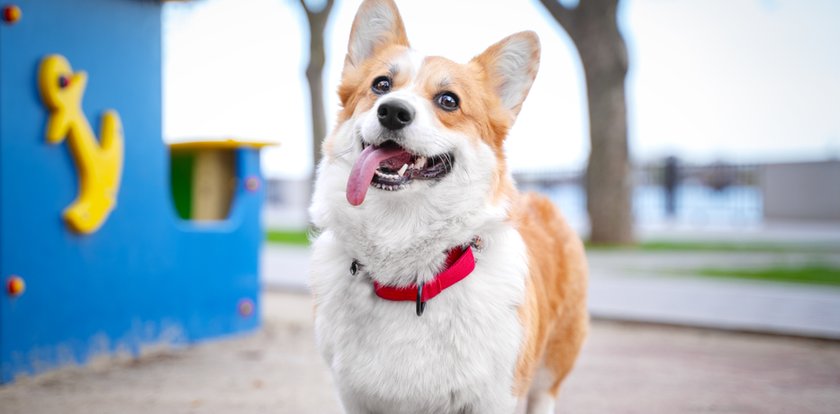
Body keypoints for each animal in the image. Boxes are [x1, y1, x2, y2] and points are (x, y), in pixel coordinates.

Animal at [306, 1, 588, 412]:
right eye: (381, 85)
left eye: (448, 100)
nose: (392, 112)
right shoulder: (355, 398)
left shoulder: (494, 398)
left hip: (551, 368)